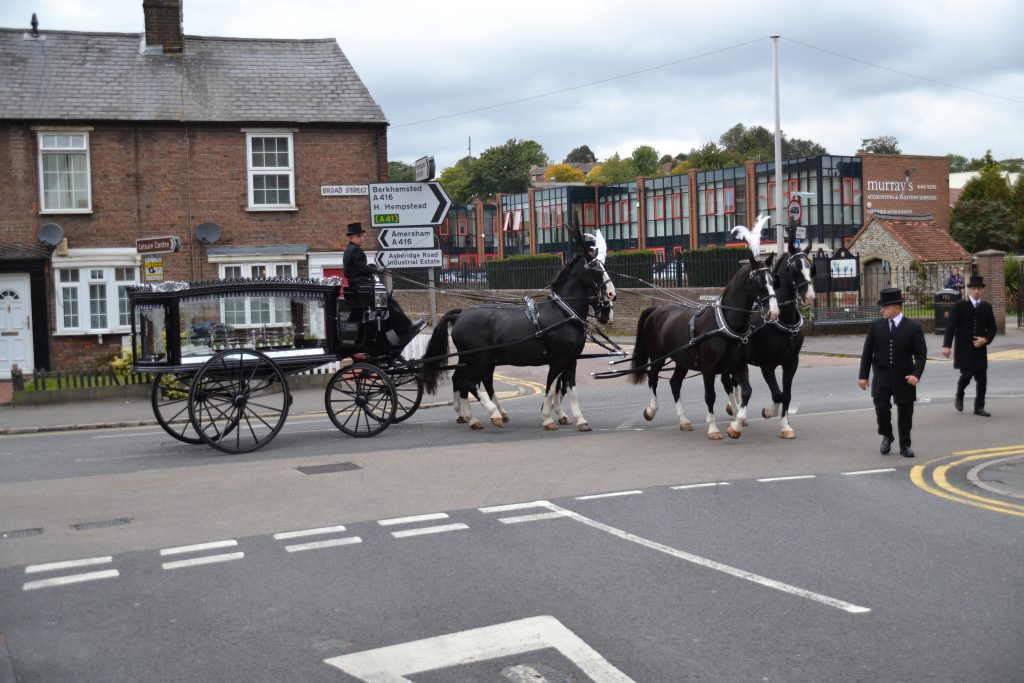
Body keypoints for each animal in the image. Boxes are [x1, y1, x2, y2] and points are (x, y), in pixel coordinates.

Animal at [421, 231, 614, 432]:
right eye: (596, 270)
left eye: (605, 267)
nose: (611, 297)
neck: (563, 312)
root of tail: (461, 314)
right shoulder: (558, 359)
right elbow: (551, 388)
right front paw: (548, 418)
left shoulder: (571, 360)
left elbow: (570, 389)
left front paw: (579, 420)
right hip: (479, 359)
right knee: (468, 383)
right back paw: (491, 414)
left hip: (472, 359)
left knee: (466, 381)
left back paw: (471, 416)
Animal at [626, 250, 778, 438]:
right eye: (757, 281)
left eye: (773, 280)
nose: (773, 312)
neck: (724, 324)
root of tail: (656, 310)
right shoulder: (708, 368)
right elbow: (710, 395)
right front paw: (713, 428)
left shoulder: (739, 365)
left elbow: (747, 391)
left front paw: (736, 425)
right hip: (658, 357)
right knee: (652, 377)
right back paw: (651, 410)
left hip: (682, 360)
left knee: (674, 383)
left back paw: (684, 420)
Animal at [724, 241, 819, 438]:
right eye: (794, 269)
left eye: (811, 267)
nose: (809, 296)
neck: (782, 321)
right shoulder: (766, 364)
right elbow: (777, 394)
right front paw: (768, 412)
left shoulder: (791, 362)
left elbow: (786, 394)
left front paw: (785, 426)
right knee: (727, 381)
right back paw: (735, 410)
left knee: (734, 381)